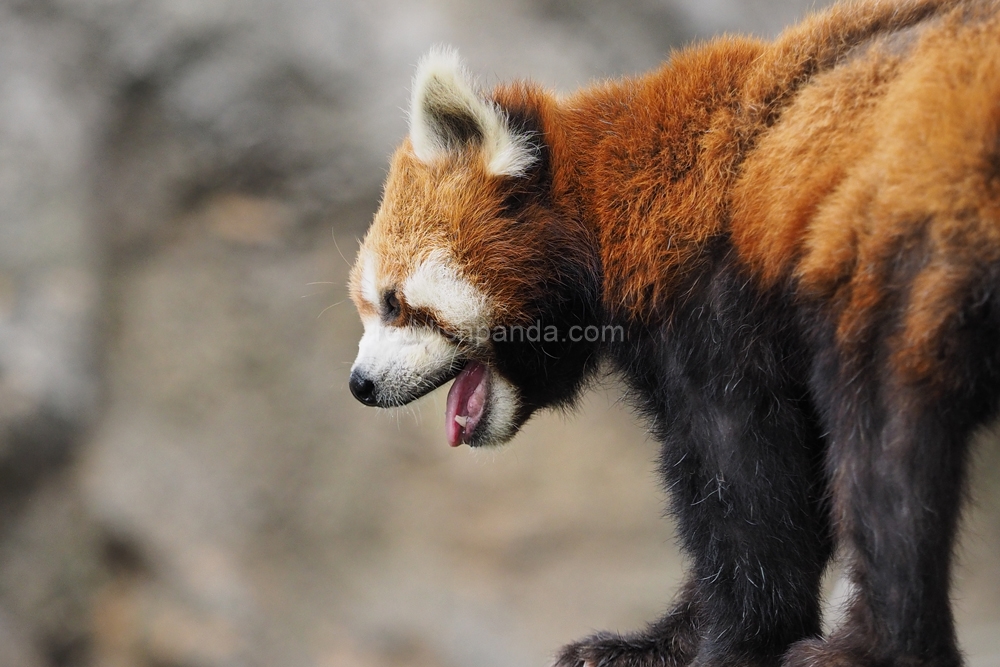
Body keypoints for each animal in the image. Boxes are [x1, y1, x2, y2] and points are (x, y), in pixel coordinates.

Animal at [346, 2, 1000, 664]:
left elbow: (746, 492)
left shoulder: (713, 309)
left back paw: (869, 649)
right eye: (368, 306)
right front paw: (659, 640)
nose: (360, 385)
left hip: (905, 244)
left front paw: (736, 643)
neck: (606, 208)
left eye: (394, 303)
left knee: (886, 453)